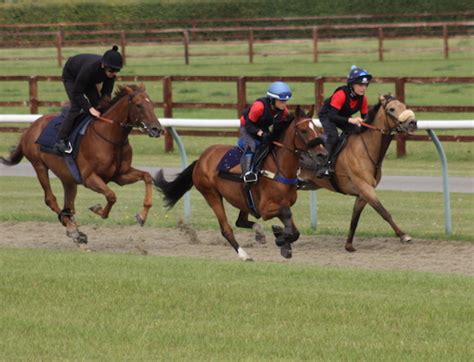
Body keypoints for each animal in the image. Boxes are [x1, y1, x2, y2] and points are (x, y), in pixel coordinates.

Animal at [0, 83, 163, 245]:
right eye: (138, 105)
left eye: (152, 104)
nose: (157, 129)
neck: (110, 136)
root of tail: (31, 127)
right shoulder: (89, 178)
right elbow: (111, 196)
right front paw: (98, 209)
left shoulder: (120, 175)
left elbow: (147, 176)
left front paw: (142, 215)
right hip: (39, 166)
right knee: (50, 199)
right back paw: (72, 229)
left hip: (68, 178)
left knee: (69, 206)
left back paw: (75, 230)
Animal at [154, 104, 328, 260]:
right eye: (304, 130)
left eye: (318, 129)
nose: (322, 154)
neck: (279, 168)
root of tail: (201, 159)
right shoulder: (266, 209)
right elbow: (287, 215)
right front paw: (280, 238)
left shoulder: (282, 203)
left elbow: (294, 230)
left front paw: (282, 239)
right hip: (211, 194)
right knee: (226, 228)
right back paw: (244, 255)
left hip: (243, 198)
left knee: (240, 221)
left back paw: (259, 233)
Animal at [298, 94, 416, 252]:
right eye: (391, 109)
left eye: (404, 106)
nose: (412, 123)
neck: (366, 149)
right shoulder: (365, 187)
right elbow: (384, 212)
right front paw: (403, 235)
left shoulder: (362, 193)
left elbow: (355, 218)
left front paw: (349, 245)